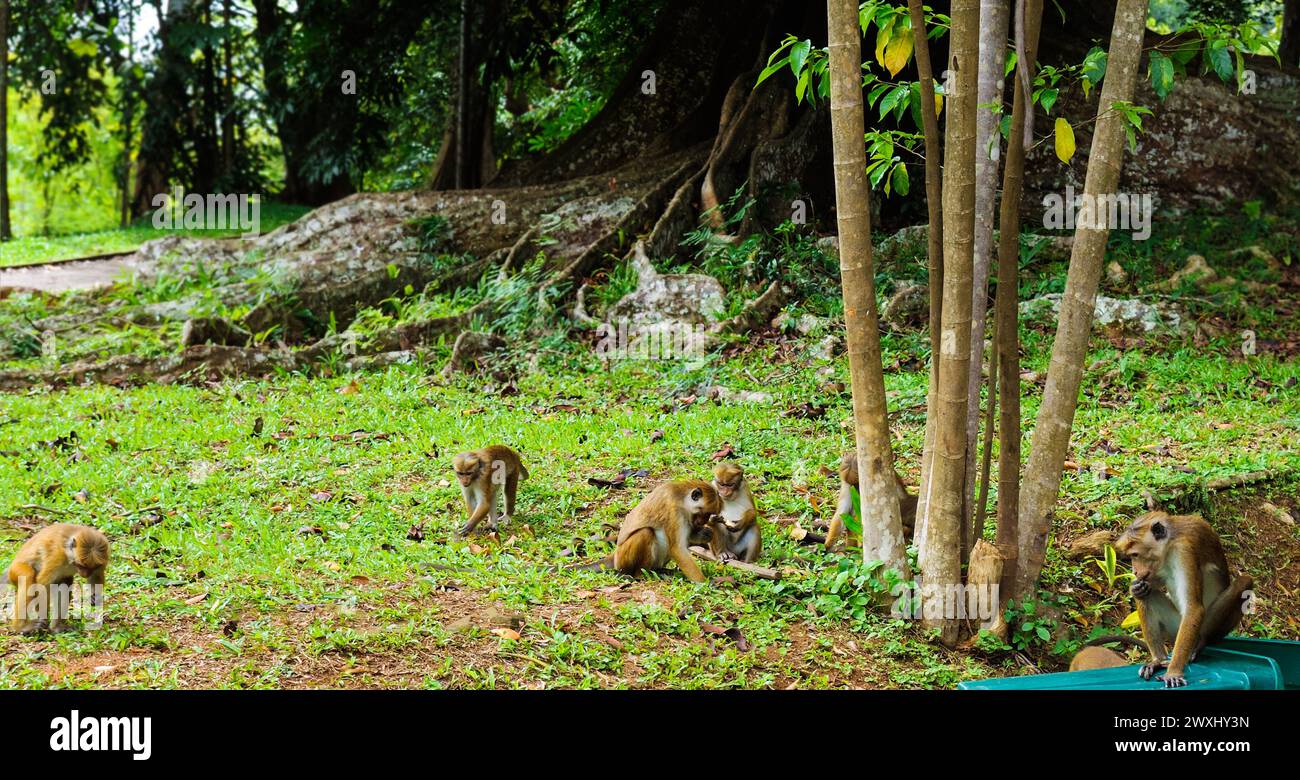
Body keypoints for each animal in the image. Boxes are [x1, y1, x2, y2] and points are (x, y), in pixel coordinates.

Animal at [1112, 512, 1253, 686]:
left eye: (1135, 555)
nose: (1135, 571)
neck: (1171, 541)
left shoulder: (1183, 551)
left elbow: (1193, 609)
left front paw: (1173, 672)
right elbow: (1152, 584)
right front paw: (1135, 588)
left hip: (1196, 629)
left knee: (1244, 583)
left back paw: (1201, 643)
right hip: (1175, 628)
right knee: (1147, 596)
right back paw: (1158, 660)